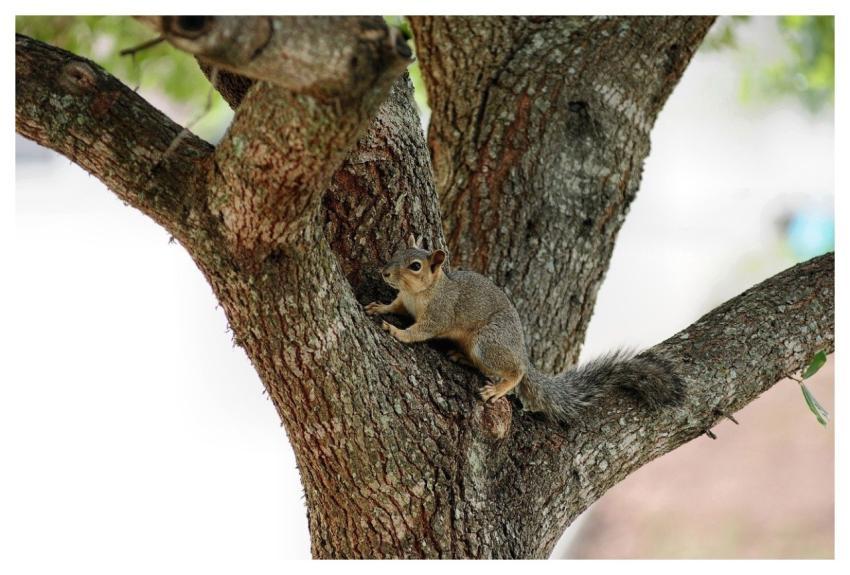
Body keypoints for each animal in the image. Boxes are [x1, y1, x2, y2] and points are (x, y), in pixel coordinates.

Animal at [365, 234, 684, 423]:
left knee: (515, 371)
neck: (419, 293)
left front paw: (398, 332)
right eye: (397, 251)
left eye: (415, 265)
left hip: (488, 342)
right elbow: (394, 307)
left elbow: (420, 331)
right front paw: (379, 308)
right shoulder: (403, 302)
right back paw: (460, 357)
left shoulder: (439, 315)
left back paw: (498, 388)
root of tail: (521, 351)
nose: (385, 272)